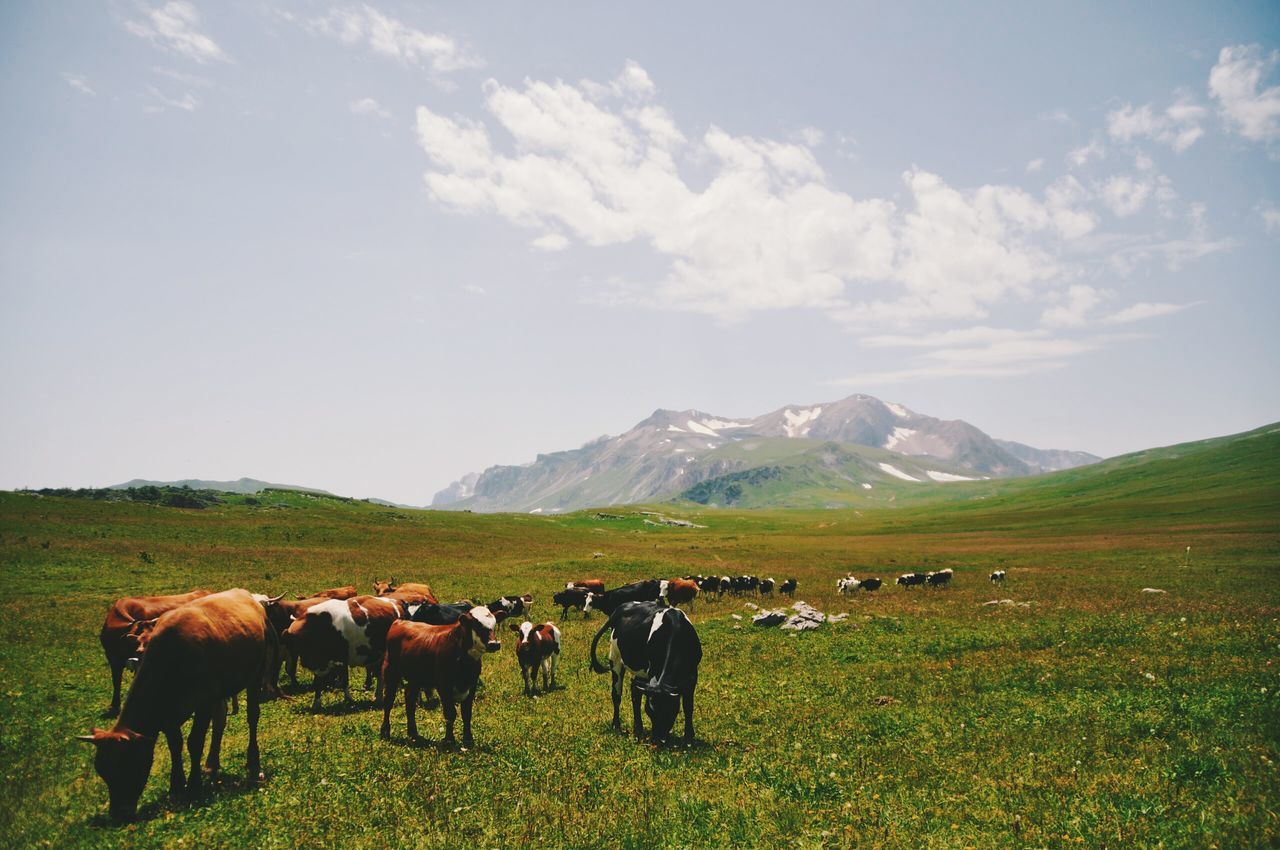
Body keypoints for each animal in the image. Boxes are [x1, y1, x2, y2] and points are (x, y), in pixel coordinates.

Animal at [75, 588, 272, 819]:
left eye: (127, 764)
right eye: (103, 770)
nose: (118, 813)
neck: (173, 659)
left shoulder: (203, 702)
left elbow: (194, 742)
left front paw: (194, 786)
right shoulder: (168, 712)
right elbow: (175, 745)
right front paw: (176, 786)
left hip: (255, 675)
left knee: (252, 716)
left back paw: (253, 762)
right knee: (220, 721)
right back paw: (211, 764)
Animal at [376, 604, 501, 742]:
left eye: (494, 625)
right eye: (478, 626)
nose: (494, 644)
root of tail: (399, 622)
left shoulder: (471, 684)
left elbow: (467, 713)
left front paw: (468, 739)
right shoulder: (444, 685)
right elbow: (450, 713)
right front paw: (449, 739)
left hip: (415, 678)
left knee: (410, 700)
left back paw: (413, 733)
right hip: (391, 672)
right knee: (388, 702)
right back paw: (385, 731)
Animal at [588, 596, 701, 742]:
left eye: (671, 710)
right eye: (649, 711)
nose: (658, 739)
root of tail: (620, 608)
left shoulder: (692, 674)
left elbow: (688, 706)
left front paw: (689, 737)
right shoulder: (652, 672)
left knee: (635, 692)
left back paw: (638, 729)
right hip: (616, 659)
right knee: (617, 694)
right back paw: (617, 726)